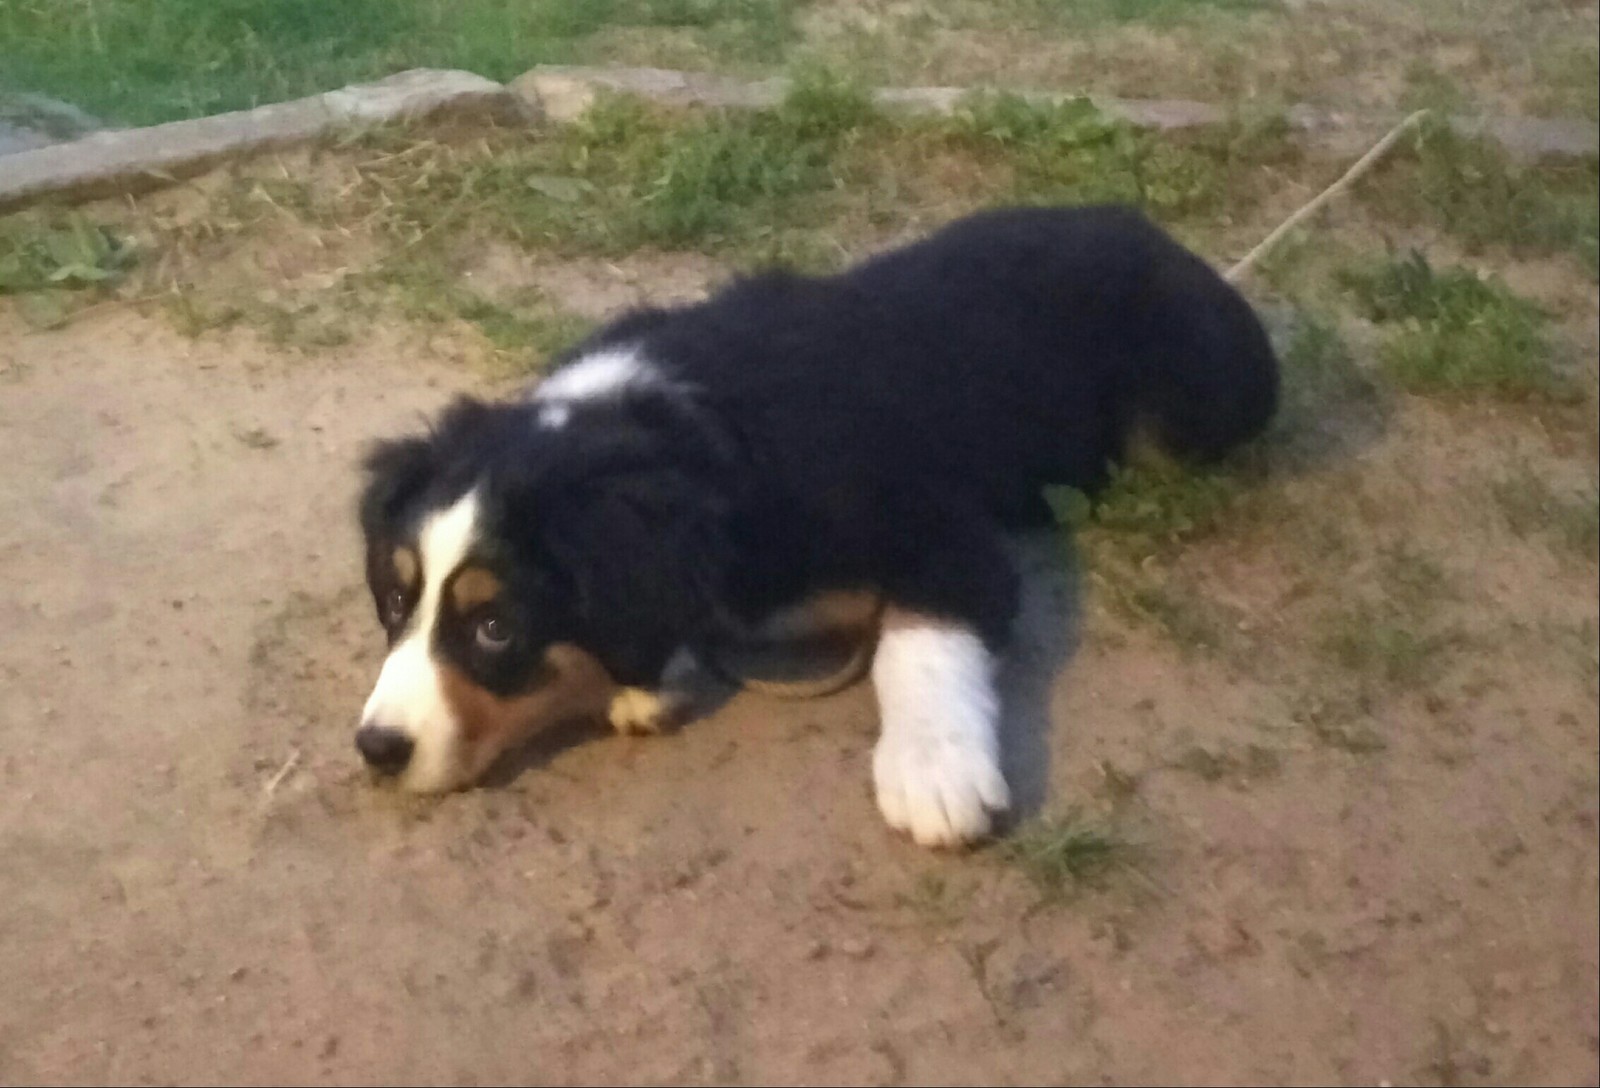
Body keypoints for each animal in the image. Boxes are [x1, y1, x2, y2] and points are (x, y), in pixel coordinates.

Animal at [356, 204, 1280, 851]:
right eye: (396, 603)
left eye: (495, 627)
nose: (376, 750)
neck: (677, 425)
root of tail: (1156, 232)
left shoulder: (940, 533)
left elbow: (919, 640)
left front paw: (934, 770)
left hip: (1199, 397)